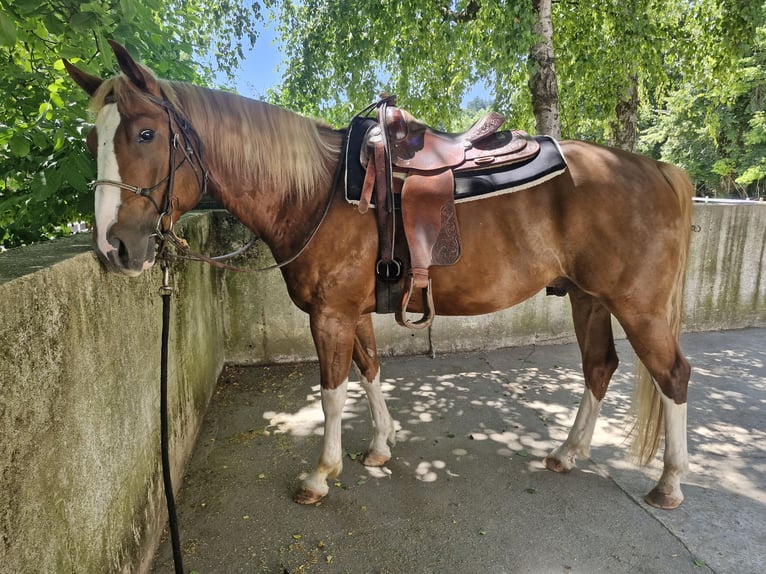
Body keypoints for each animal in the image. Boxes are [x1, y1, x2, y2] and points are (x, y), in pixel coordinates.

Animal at [64, 41, 693, 510]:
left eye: (146, 134)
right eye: (92, 141)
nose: (114, 248)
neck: (315, 193)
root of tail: (657, 168)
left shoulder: (331, 317)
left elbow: (332, 393)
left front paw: (321, 474)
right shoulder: (354, 313)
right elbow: (369, 373)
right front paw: (380, 448)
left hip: (637, 306)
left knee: (672, 375)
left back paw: (669, 483)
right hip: (588, 297)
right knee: (600, 367)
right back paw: (567, 452)